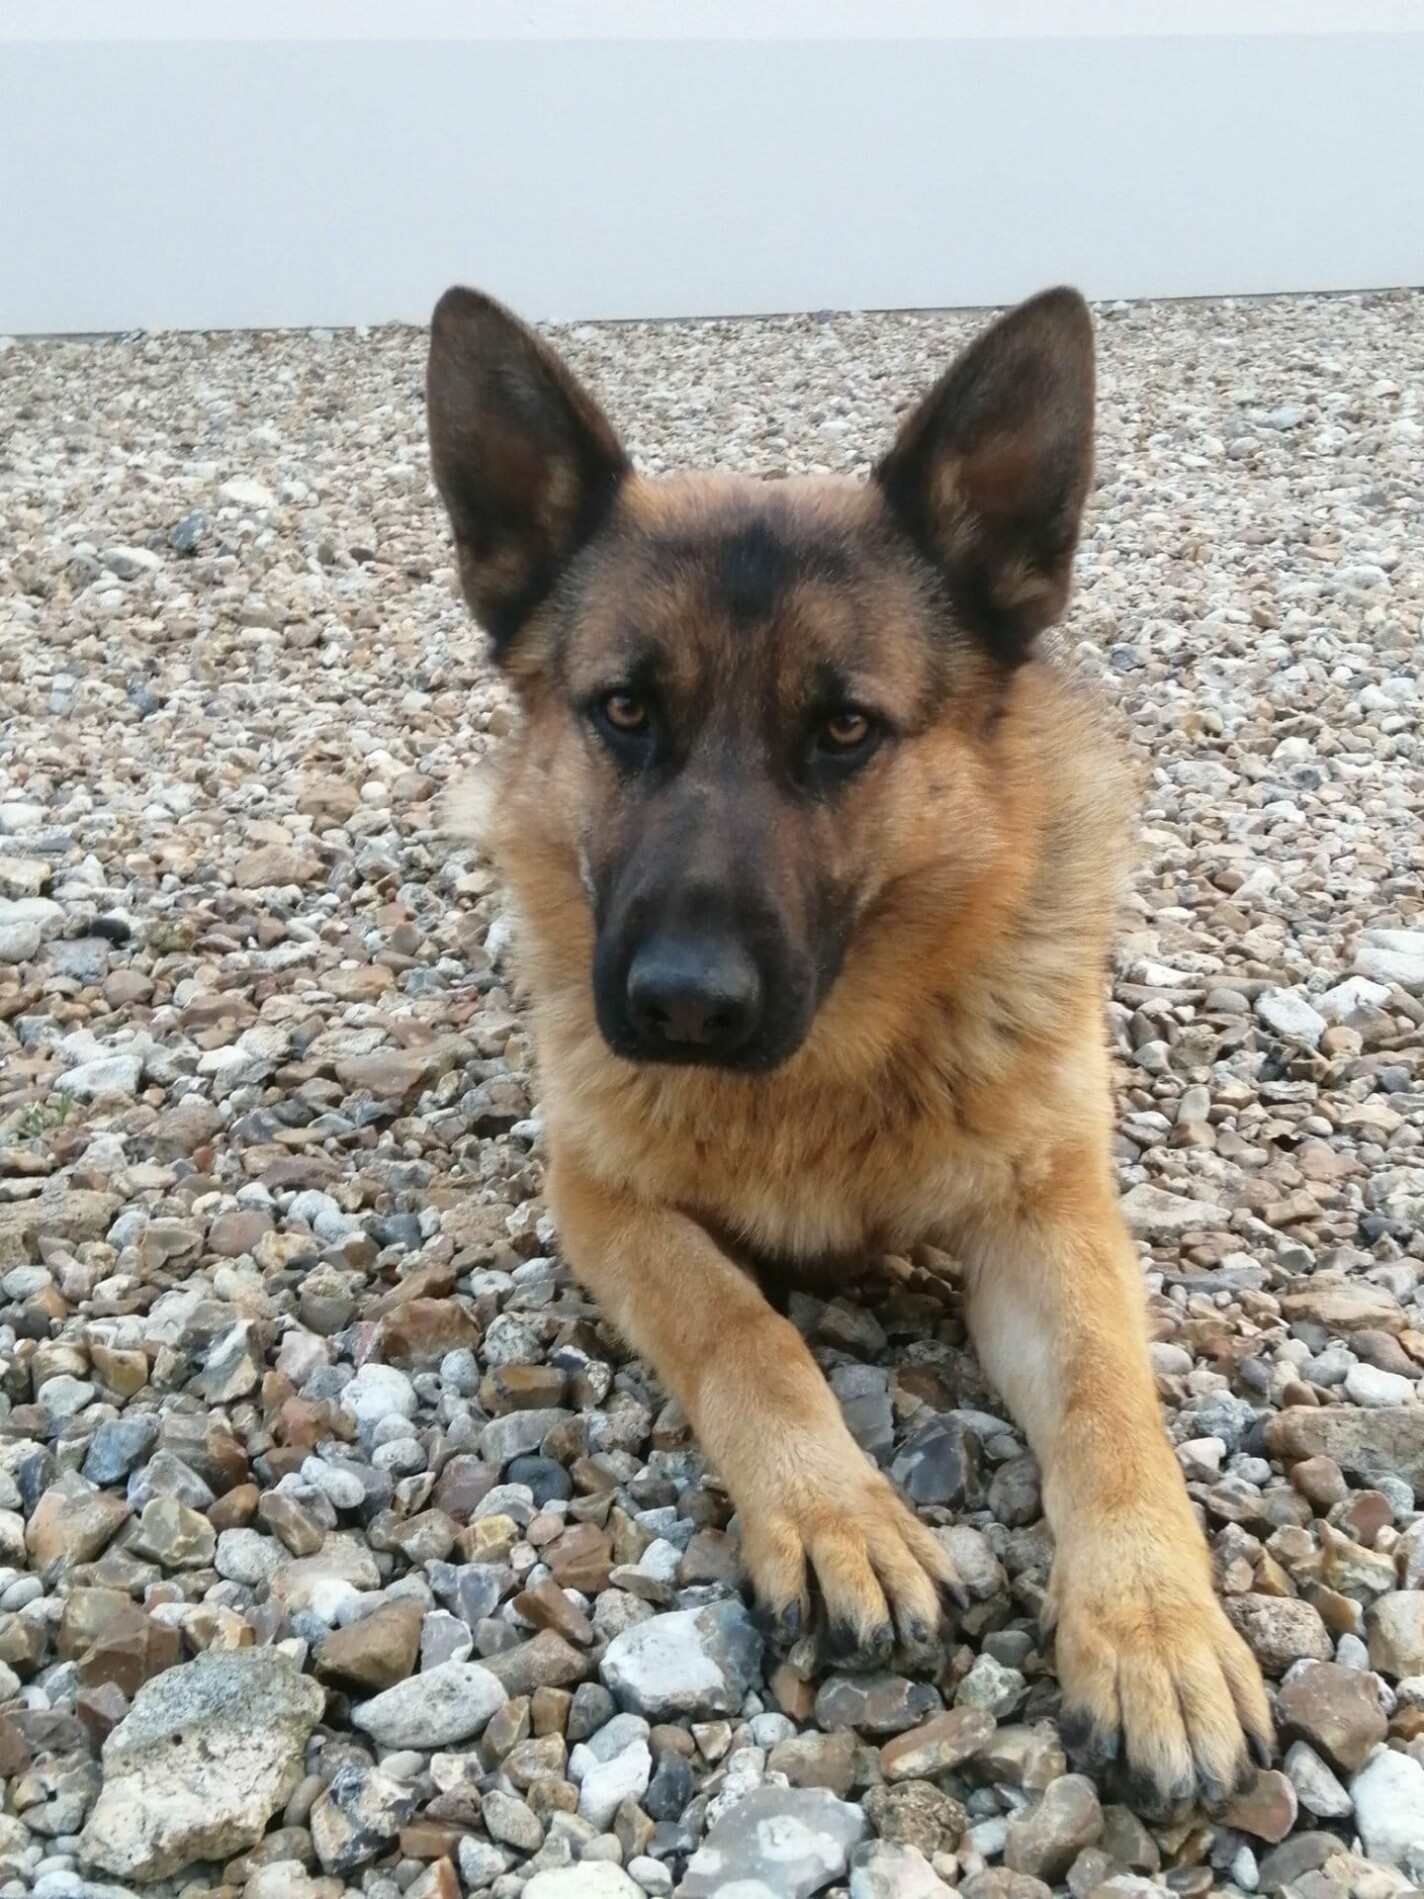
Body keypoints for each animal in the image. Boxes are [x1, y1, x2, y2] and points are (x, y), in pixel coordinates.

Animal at [425, 284, 1273, 1816]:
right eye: (624, 710)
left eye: (843, 728)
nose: (683, 1003)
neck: (817, 1078)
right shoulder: (602, 1196)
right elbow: (741, 1329)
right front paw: (836, 1514)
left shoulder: (1048, 1211)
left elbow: (1110, 1401)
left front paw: (1154, 1626)